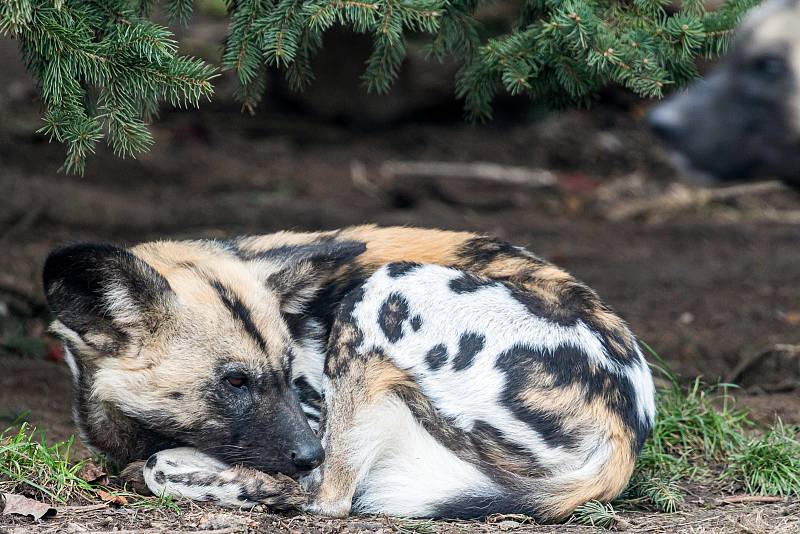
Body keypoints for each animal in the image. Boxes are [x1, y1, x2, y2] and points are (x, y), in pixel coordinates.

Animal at [45, 226, 656, 524]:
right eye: (235, 383)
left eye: (287, 372)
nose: (308, 453)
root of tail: (626, 424)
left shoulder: (315, 416)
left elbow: (159, 466)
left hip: (381, 295)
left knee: (333, 499)